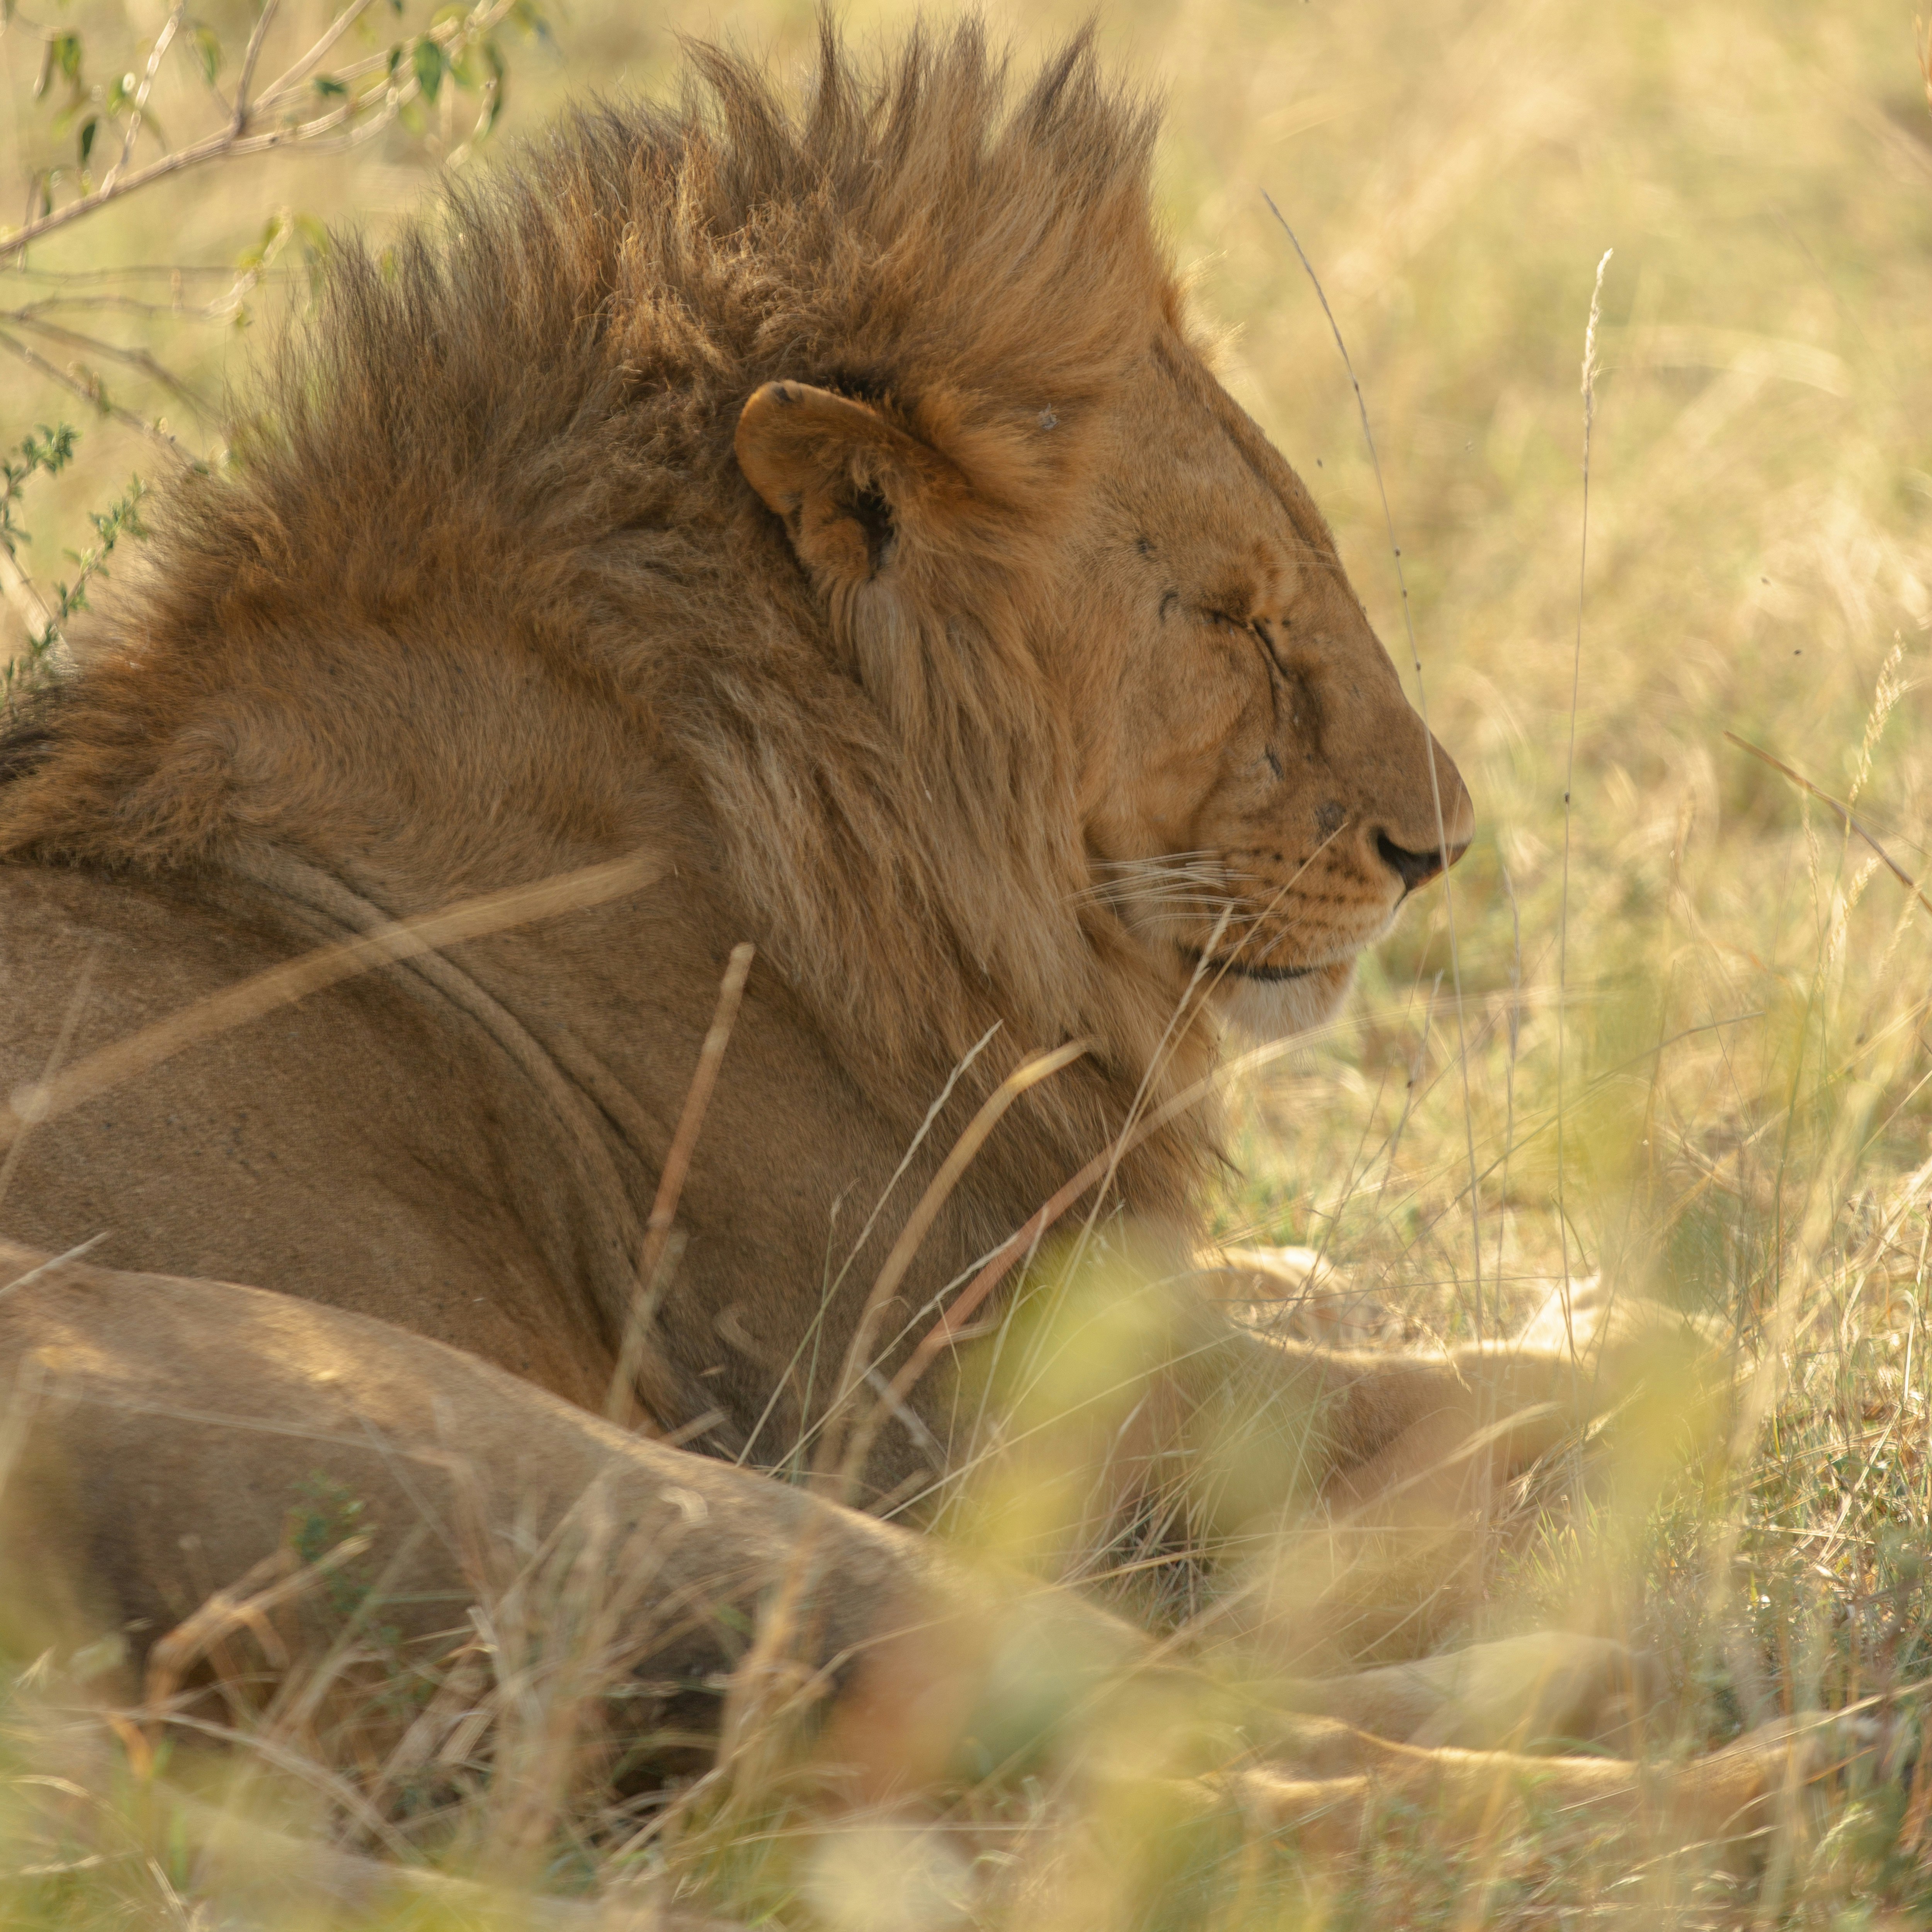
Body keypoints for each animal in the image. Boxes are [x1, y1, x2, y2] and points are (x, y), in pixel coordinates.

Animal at [0, 23, 1882, 1884]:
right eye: (1234, 619)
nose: (1441, 847)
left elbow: (1353, 1295)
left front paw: (1569, 1286)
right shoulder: (975, 1406)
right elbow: (1529, 1388)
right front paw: (1637, 1349)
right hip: (578, 1468)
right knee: (1205, 1764)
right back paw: (1780, 1748)